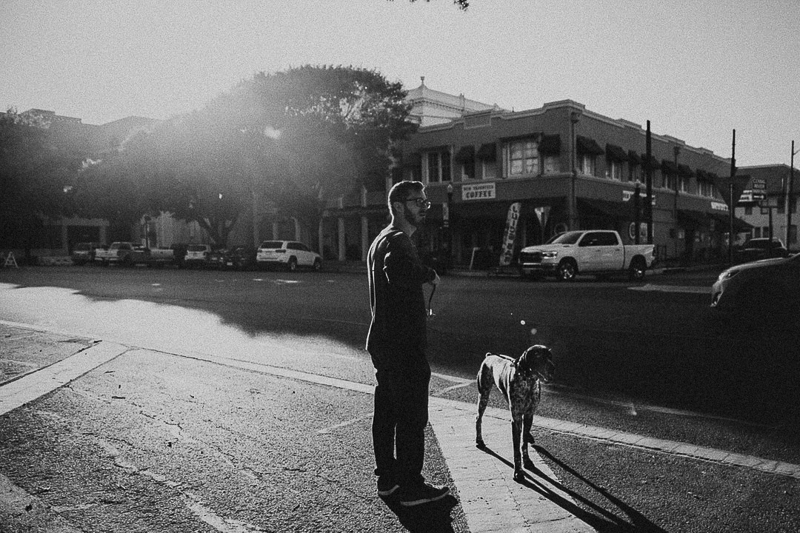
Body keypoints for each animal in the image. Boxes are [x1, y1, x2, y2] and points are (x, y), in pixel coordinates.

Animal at [478, 344, 552, 482]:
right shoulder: (516, 419)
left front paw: (527, 461)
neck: (529, 382)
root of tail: (489, 355)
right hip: (483, 396)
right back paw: (479, 440)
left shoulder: (529, 415)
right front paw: (518, 472)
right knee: (478, 419)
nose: (552, 368)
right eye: (538, 356)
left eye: (550, 356)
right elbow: (516, 449)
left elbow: (524, 443)